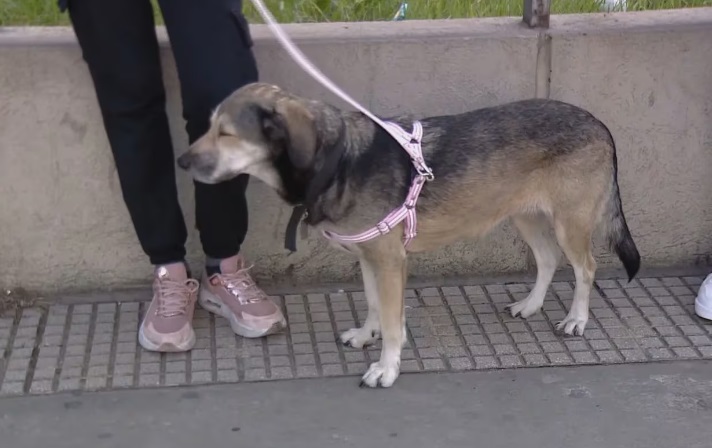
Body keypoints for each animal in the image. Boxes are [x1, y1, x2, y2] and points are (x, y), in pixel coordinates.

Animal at [177, 81, 640, 388]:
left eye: (226, 133)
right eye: (209, 127)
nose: (180, 161)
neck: (340, 160)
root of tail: (599, 123)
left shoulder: (389, 261)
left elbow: (393, 322)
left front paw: (387, 367)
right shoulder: (369, 258)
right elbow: (373, 306)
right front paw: (367, 336)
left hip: (569, 223)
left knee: (586, 268)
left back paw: (577, 319)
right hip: (525, 216)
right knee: (547, 260)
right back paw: (530, 305)